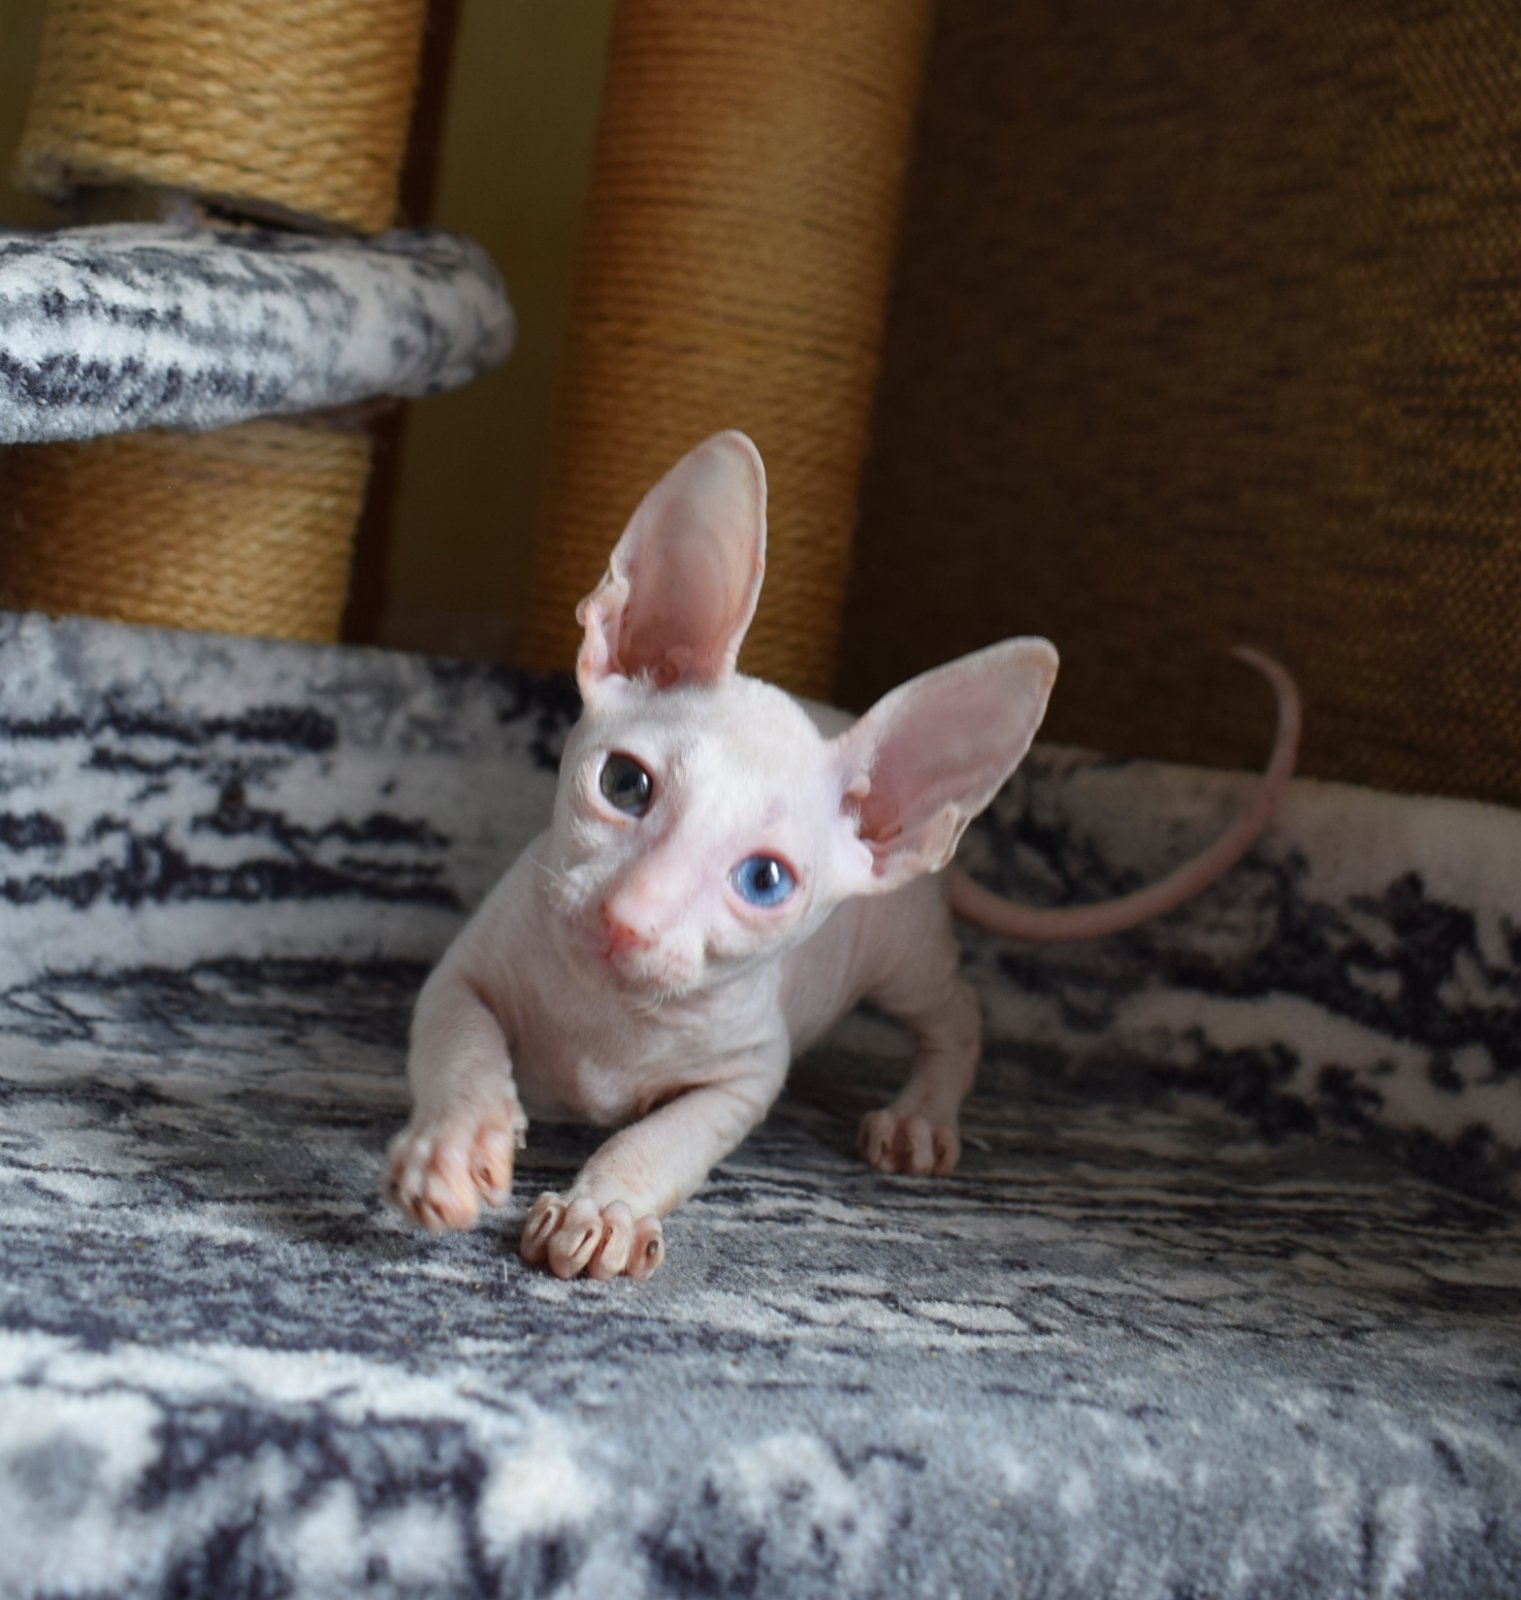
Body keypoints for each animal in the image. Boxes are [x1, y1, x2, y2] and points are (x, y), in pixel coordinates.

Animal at [383, 432, 1298, 1280]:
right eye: (623, 784)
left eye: (764, 880)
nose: (627, 921)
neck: (612, 1019)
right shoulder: (464, 972)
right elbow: (461, 1043)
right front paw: (456, 1145)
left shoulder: (748, 1075)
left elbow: (664, 1139)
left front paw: (603, 1209)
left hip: (903, 960)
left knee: (960, 1014)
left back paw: (920, 1118)